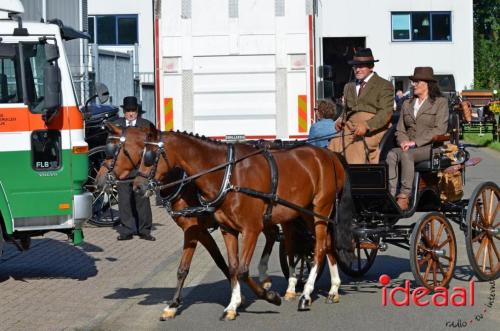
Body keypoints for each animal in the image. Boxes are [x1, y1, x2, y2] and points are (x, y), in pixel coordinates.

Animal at [95, 124, 280, 320]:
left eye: (115, 151)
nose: (98, 181)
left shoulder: (194, 229)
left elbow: (193, 266)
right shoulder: (200, 231)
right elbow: (218, 262)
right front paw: (174, 305)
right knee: (273, 233)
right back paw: (266, 279)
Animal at [133, 131, 352, 320]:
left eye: (149, 156)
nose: (137, 187)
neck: (228, 175)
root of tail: (329, 155)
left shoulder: (250, 230)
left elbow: (243, 270)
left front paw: (270, 296)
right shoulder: (227, 230)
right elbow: (232, 267)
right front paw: (233, 305)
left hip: (321, 209)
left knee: (319, 248)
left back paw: (306, 294)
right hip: (306, 212)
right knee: (327, 244)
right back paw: (333, 289)